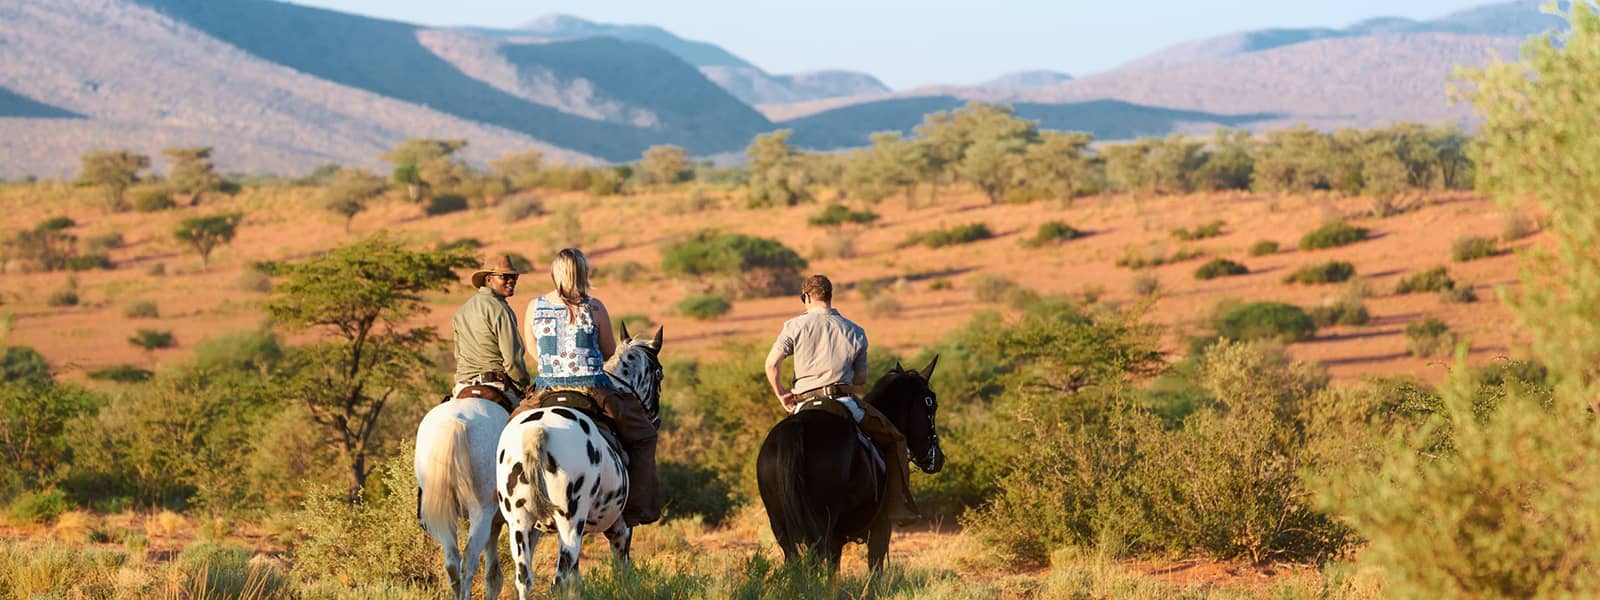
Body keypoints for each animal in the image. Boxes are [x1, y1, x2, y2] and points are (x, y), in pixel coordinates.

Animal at [414, 395, 509, 600]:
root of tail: (453, 422)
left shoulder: (495, 526)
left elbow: (493, 576)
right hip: (481, 514)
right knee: (469, 561)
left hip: (447, 518)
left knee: (452, 564)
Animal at [495, 324, 664, 596]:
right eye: (659, 374)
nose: (655, 418)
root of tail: (537, 433)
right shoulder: (620, 529)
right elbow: (621, 571)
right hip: (569, 524)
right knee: (558, 579)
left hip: (519, 524)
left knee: (524, 578)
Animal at [756, 357, 945, 571]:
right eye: (932, 405)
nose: (938, 458)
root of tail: (797, 427)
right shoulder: (880, 528)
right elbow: (875, 569)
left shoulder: (837, 540)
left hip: (782, 525)